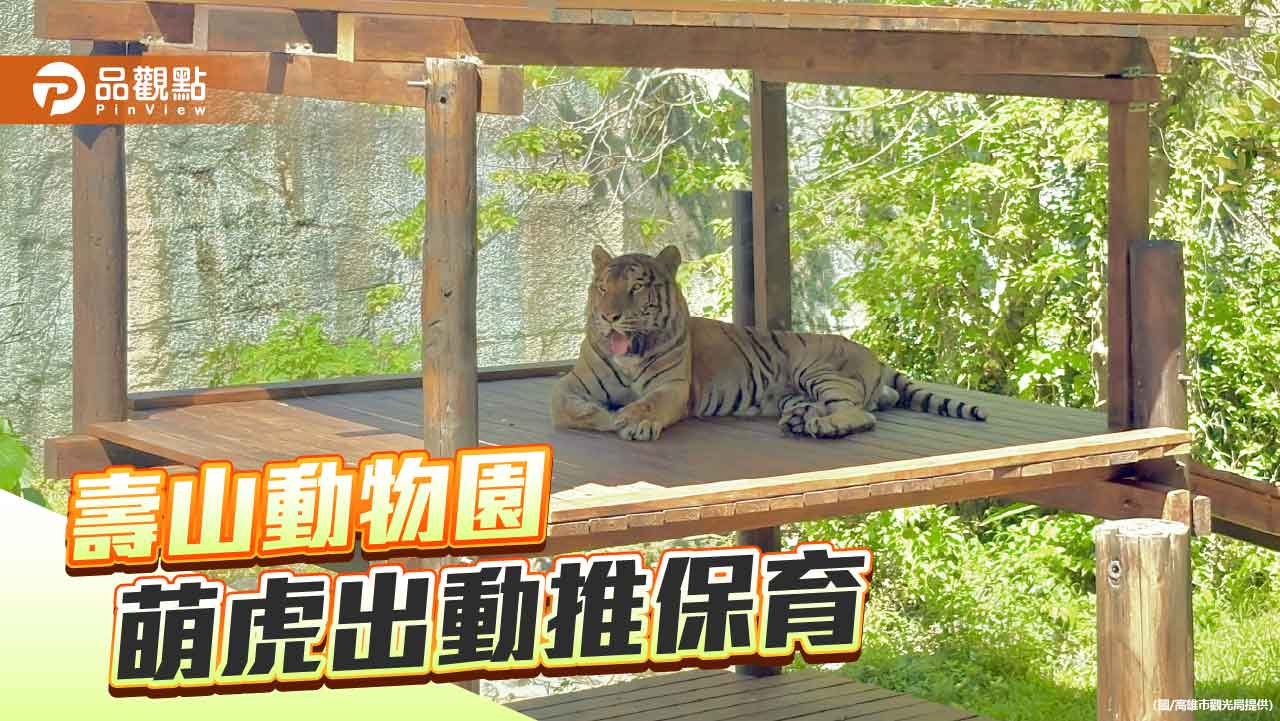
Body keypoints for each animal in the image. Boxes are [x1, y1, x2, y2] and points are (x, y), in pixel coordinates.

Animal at [550, 244, 986, 442]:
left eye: (636, 288)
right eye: (602, 288)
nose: (609, 317)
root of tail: (874, 355)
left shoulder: (672, 388)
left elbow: (649, 402)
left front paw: (633, 419)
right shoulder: (572, 384)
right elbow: (568, 408)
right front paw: (607, 416)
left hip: (817, 368)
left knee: (859, 413)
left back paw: (822, 427)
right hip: (797, 390)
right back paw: (800, 420)